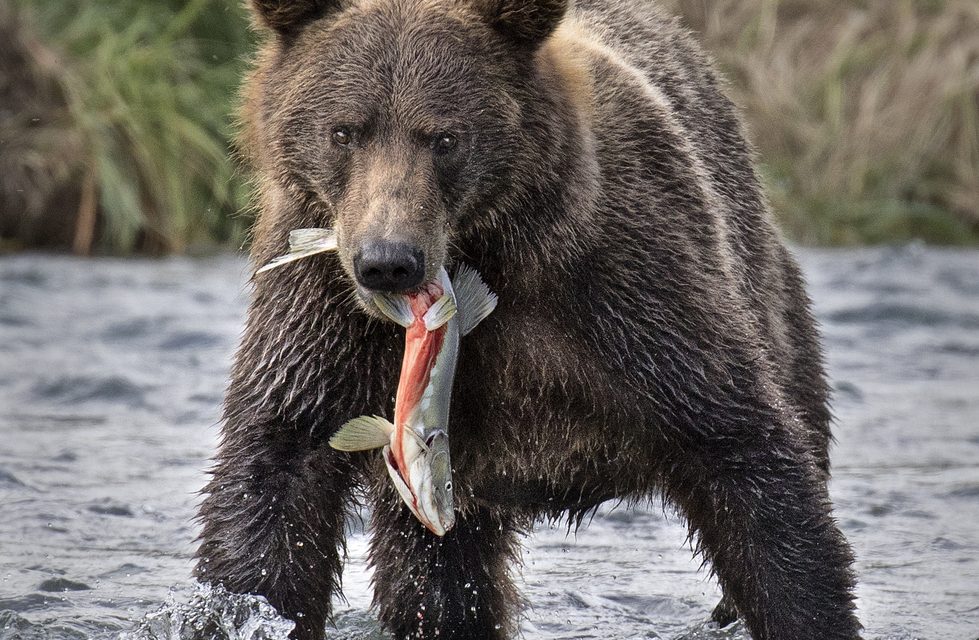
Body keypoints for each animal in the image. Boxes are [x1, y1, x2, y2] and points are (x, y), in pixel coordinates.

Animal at [194, 0, 861, 639]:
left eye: (444, 138)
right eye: (344, 131)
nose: (388, 261)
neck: (484, 251)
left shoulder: (625, 290)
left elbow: (741, 453)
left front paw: (808, 609)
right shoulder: (322, 318)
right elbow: (276, 472)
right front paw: (247, 609)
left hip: (766, 296)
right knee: (434, 576)